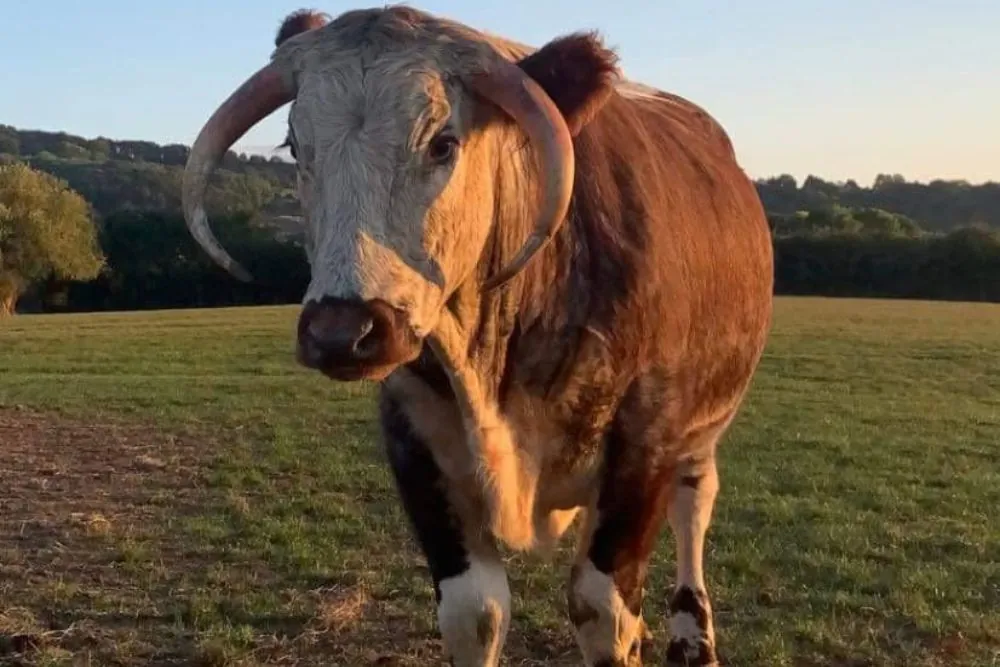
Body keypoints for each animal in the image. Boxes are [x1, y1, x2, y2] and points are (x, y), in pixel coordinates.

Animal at [180, 6, 774, 666]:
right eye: (294, 145)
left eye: (443, 142)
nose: (340, 332)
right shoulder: (413, 439)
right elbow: (476, 612)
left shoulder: (646, 444)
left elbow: (603, 609)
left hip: (701, 429)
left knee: (693, 506)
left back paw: (693, 635)